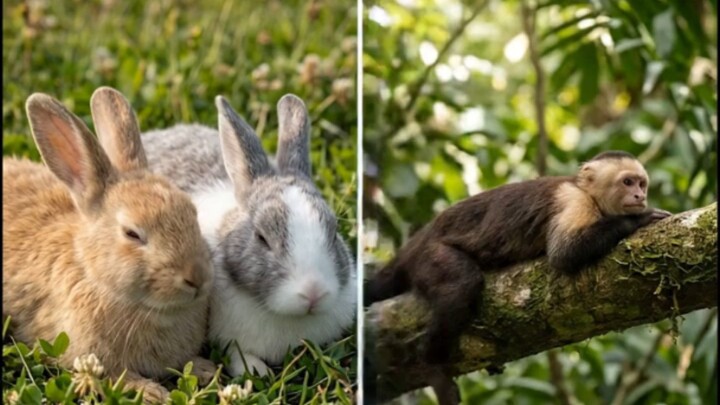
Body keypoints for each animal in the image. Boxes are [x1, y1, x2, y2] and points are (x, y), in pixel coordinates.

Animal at [2, 87, 217, 403]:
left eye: (192, 212)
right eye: (132, 234)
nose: (197, 278)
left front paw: (205, 370)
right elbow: (117, 376)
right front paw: (152, 393)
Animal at [363, 151, 671, 405]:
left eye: (642, 184)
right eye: (628, 182)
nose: (640, 197)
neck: (589, 194)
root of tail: (418, 240)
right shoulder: (572, 200)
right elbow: (565, 254)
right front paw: (638, 220)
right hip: (429, 256)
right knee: (462, 284)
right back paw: (434, 367)